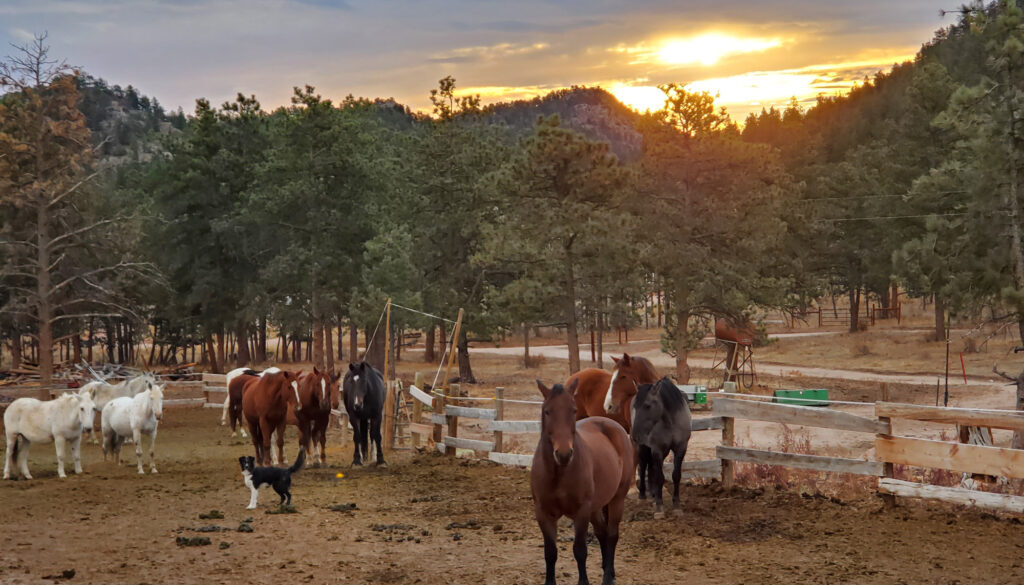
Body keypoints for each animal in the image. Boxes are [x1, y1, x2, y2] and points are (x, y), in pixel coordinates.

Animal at [536, 379, 630, 585]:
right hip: (595, 507)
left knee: (612, 535)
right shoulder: (544, 515)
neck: (560, 472)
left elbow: (580, 551)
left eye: (573, 410)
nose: (563, 454)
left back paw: (608, 577)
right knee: (602, 533)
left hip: (617, 499)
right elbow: (550, 553)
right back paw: (608, 571)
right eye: (547, 411)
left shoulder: (581, 513)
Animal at [630, 374, 696, 516]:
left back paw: (653, 494)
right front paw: (659, 507)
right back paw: (643, 496)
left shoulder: (680, 449)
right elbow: (660, 477)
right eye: (635, 407)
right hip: (643, 448)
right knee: (643, 467)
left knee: (651, 468)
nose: (635, 435)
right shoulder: (657, 450)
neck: (670, 421)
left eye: (647, 406)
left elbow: (676, 475)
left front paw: (676, 505)